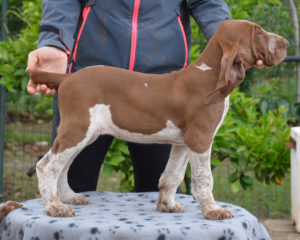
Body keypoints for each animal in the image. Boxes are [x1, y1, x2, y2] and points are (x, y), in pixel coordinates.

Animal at [28, 20, 288, 219]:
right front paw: (213, 210)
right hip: (78, 129)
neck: (210, 75)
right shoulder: (200, 139)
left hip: (85, 134)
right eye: (259, 33)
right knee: (46, 166)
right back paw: (55, 207)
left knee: (62, 166)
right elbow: (204, 179)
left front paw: (167, 205)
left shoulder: (183, 142)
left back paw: (69, 197)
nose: (286, 43)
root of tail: (67, 78)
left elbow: (172, 176)